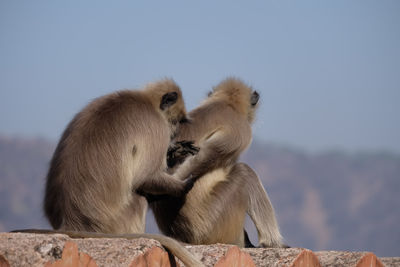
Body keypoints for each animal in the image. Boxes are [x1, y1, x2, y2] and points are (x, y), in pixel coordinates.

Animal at [150, 77, 284, 249]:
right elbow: (207, 153)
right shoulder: (241, 129)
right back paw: (272, 242)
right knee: (244, 172)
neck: (227, 103)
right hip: (214, 221)